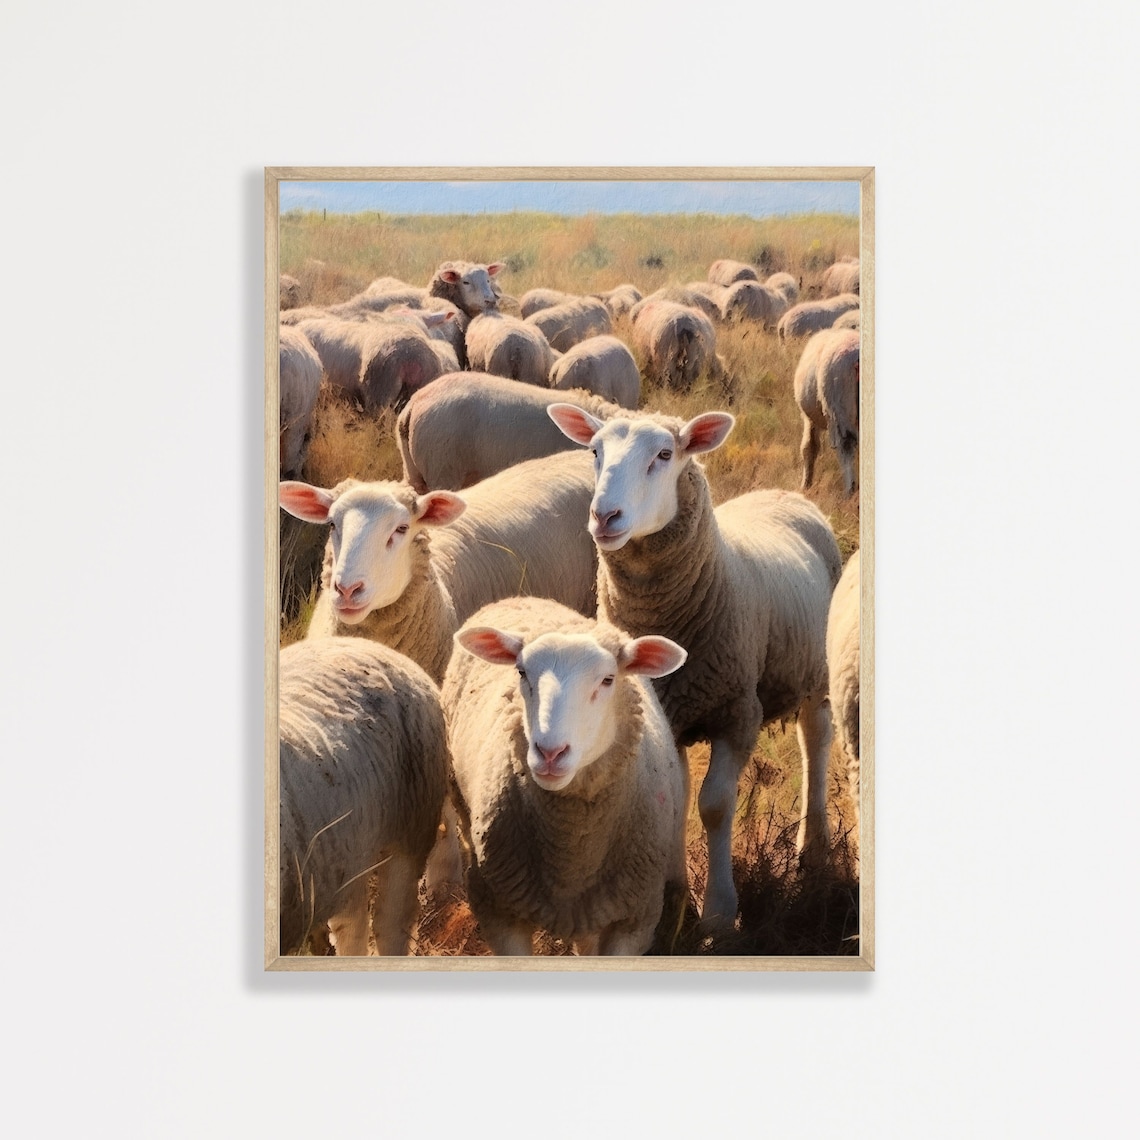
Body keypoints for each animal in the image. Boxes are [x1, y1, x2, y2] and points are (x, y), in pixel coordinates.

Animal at [444, 595, 689, 955]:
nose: (549, 753)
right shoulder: (498, 913)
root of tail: (524, 597)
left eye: (608, 679)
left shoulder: (634, 921)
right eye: (522, 672)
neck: (571, 860)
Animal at [549, 404, 842, 932]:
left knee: (816, 738)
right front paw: (675, 905)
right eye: (595, 451)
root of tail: (785, 493)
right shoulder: (668, 712)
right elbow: (677, 800)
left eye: (665, 455)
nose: (605, 516)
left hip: (816, 671)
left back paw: (814, 849)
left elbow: (714, 806)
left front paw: (719, 914)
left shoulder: (738, 711)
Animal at [793, 326, 860, 496]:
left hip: (837, 406)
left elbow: (809, 448)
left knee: (845, 445)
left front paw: (806, 485)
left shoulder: (809, 419)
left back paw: (850, 490)